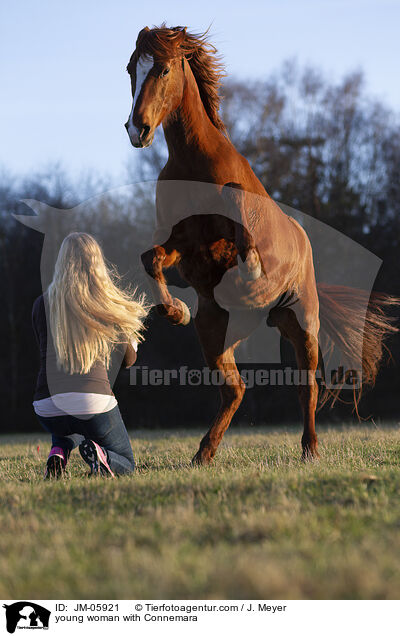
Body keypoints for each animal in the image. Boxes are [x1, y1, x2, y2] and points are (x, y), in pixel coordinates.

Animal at [124, 24, 396, 464]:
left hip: (302, 325)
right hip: (215, 332)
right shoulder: (181, 244)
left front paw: (248, 268)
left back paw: (310, 450)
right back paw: (203, 453)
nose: (138, 130)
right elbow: (151, 258)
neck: (195, 166)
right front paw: (176, 310)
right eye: (132, 69)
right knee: (234, 390)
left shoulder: (233, 221)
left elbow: (240, 219)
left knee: (307, 387)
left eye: (163, 69)